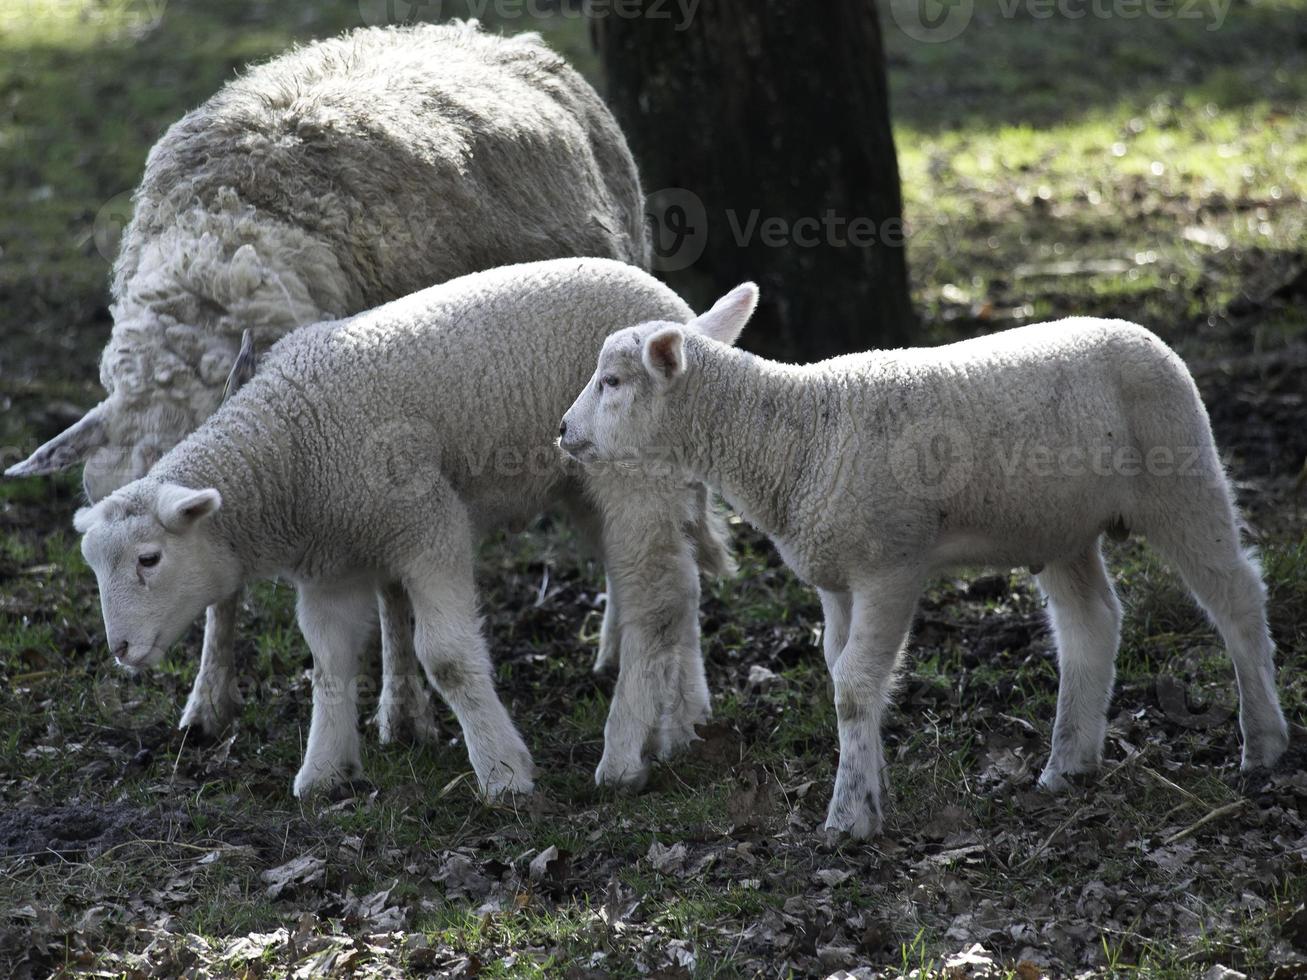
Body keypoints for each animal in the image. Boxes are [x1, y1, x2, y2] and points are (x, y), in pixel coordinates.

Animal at [75, 258, 716, 799]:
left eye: (149, 559)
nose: (120, 650)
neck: (290, 447)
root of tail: (680, 314)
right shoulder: (330, 566)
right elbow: (329, 663)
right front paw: (325, 770)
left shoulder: (428, 525)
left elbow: (448, 658)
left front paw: (503, 771)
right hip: (587, 487)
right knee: (681, 588)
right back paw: (680, 722)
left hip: (633, 474)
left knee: (655, 600)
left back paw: (626, 753)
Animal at [559, 287, 1286, 841]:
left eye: (612, 382)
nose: (562, 432)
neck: (789, 434)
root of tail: (1139, 331)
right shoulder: (836, 577)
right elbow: (843, 671)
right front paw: (872, 784)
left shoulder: (889, 564)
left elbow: (853, 684)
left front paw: (848, 817)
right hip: (1059, 525)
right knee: (1092, 625)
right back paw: (1068, 764)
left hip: (1180, 471)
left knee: (1236, 596)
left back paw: (1262, 744)